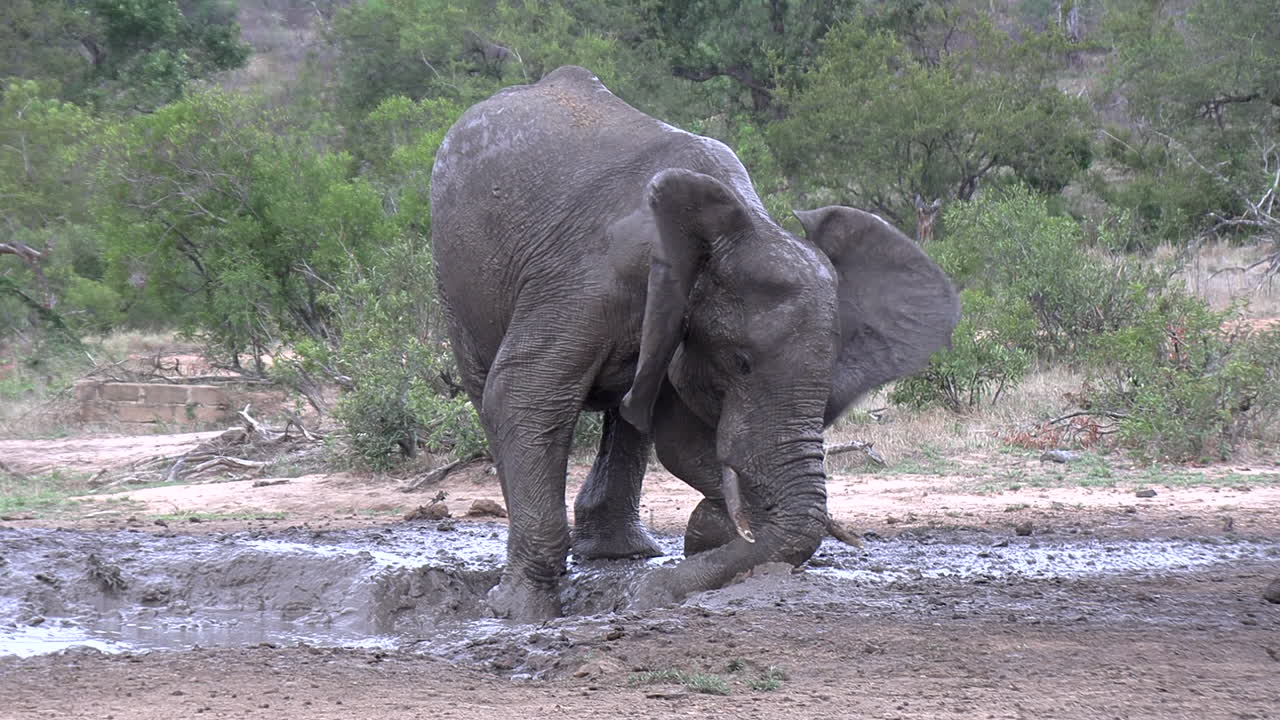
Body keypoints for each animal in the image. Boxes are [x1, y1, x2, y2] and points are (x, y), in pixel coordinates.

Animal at [430, 66, 959, 620]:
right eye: (741, 363)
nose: (648, 596)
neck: (743, 224)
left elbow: (676, 438)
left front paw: (705, 532)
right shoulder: (584, 283)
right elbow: (524, 396)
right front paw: (516, 612)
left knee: (629, 417)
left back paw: (624, 556)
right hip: (455, 274)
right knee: (488, 388)